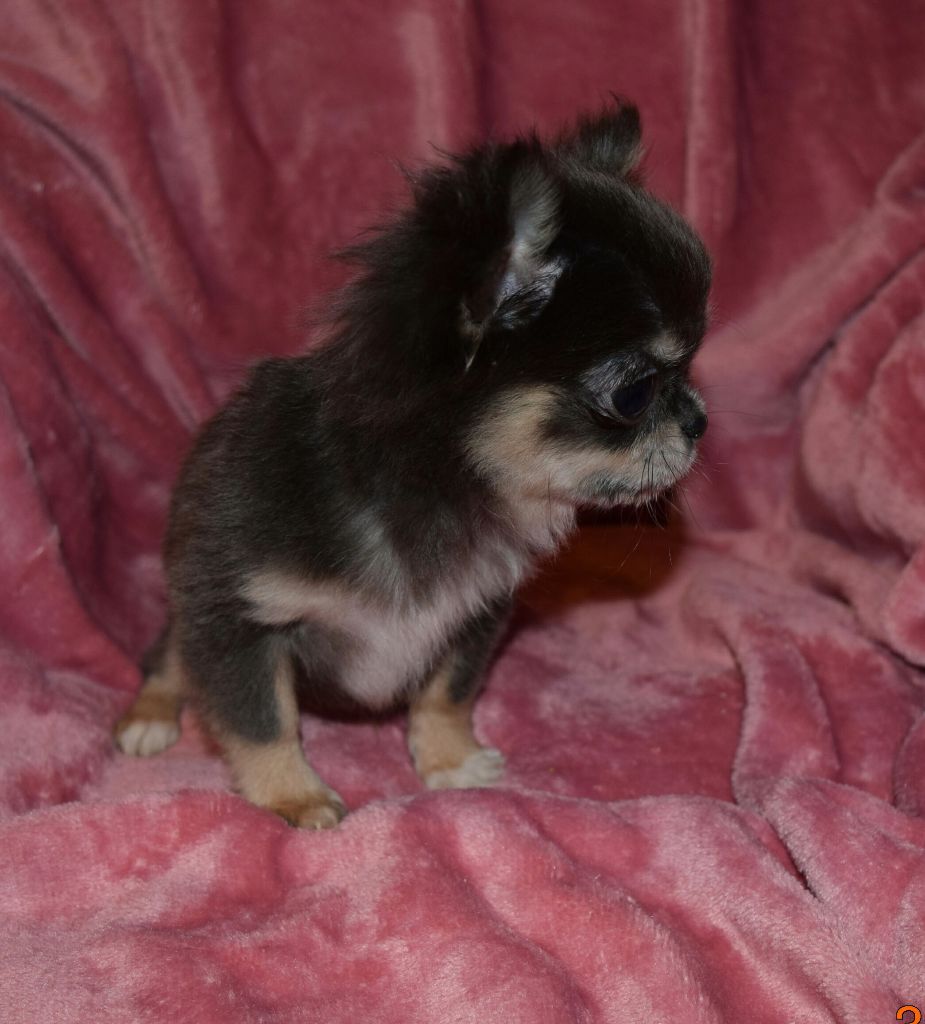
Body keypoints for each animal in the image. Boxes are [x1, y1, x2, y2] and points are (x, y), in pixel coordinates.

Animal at [114, 101, 711, 828]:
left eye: (689, 367)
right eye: (633, 394)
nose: (699, 420)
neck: (438, 483)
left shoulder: (474, 616)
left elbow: (445, 693)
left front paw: (449, 761)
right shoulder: (236, 617)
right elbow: (262, 719)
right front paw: (292, 796)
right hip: (188, 603)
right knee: (166, 658)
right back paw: (147, 717)